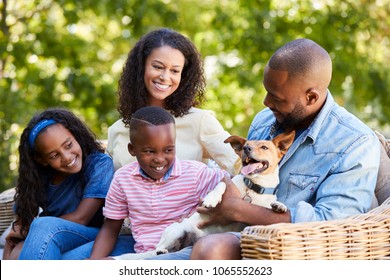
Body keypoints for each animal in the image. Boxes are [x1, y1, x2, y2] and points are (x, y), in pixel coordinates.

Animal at [114, 130, 294, 260]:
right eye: (246, 146)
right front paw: (211, 199)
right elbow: (221, 185)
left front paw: (279, 206)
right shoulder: (226, 182)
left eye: (264, 147)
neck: (253, 187)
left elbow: (271, 206)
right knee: (160, 246)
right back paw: (161, 251)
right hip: (175, 231)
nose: (246, 149)